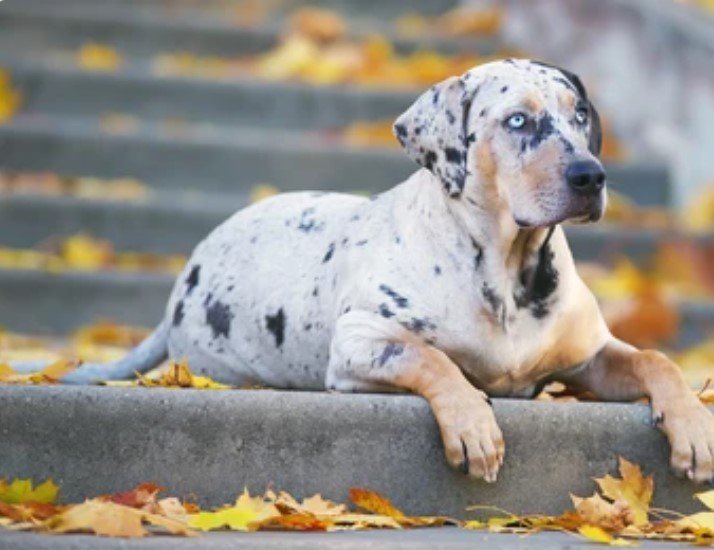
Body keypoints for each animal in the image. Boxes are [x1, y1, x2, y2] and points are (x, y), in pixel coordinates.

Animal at [39, 58, 712, 486]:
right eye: (517, 121)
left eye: (578, 115)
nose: (590, 176)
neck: (508, 272)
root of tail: (185, 278)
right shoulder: (360, 343)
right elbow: (430, 358)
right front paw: (472, 424)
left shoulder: (590, 355)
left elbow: (657, 361)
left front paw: (694, 425)